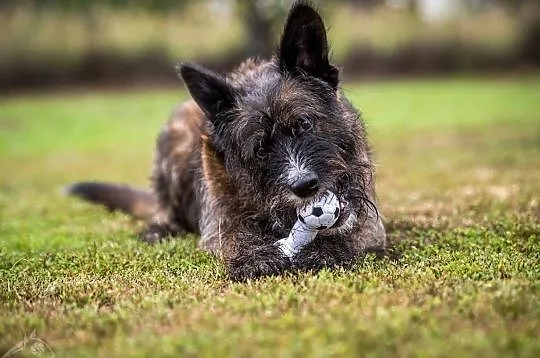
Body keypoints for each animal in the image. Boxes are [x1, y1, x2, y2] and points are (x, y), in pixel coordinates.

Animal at [68, 1, 388, 282]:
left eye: (304, 124)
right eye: (260, 148)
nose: (304, 186)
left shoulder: (370, 226)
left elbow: (351, 235)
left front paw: (323, 250)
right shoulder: (218, 222)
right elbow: (234, 237)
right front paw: (255, 258)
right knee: (165, 207)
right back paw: (159, 228)